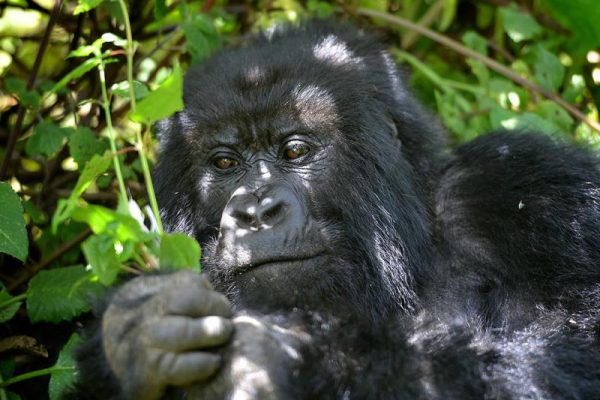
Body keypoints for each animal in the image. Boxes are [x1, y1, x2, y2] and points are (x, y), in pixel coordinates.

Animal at [68, 21, 600, 400]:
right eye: (224, 163)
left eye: (295, 151)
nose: (255, 212)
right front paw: (133, 337)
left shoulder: (531, 191)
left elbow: (565, 359)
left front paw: (289, 358)